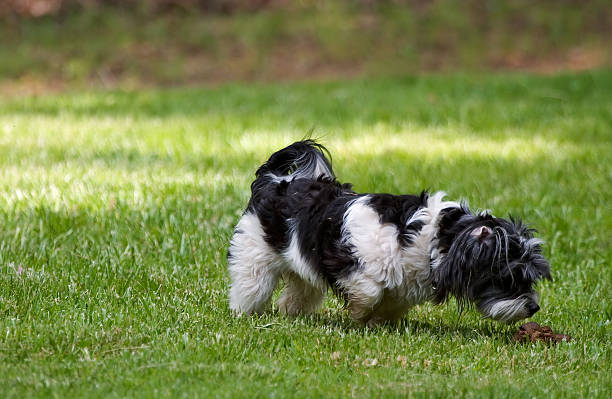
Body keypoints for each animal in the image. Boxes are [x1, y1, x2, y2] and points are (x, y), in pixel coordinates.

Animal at [227, 141, 552, 324]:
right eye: (510, 277)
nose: (534, 307)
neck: (432, 237)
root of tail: (274, 179)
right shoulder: (349, 260)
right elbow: (370, 292)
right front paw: (359, 315)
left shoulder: (404, 284)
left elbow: (394, 302)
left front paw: (379, 321)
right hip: (254, 258)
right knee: (251, 285)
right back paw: (245, 313)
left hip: (300, 263)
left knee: (300, 291)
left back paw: (291, 312)